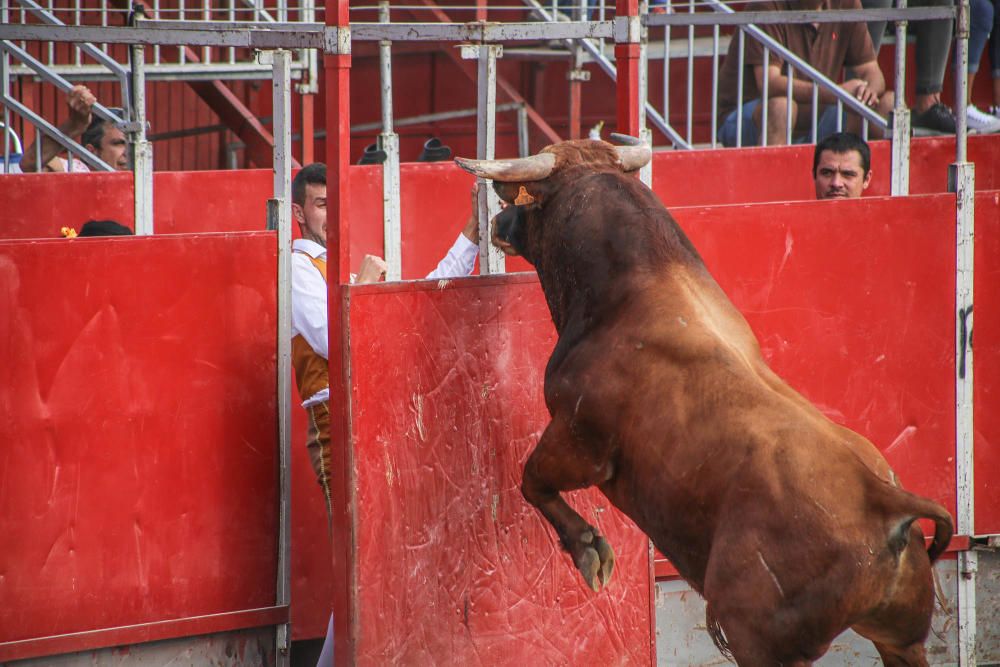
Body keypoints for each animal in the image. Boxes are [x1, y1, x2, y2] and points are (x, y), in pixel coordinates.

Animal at [458, 138, 956, 664]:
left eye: (533, 199)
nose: (498, 221)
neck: (630, 291)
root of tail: (885, 498)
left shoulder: (577, 441)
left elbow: (530, 480)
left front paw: (590, 550)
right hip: (900, 637)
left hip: (759, 638)